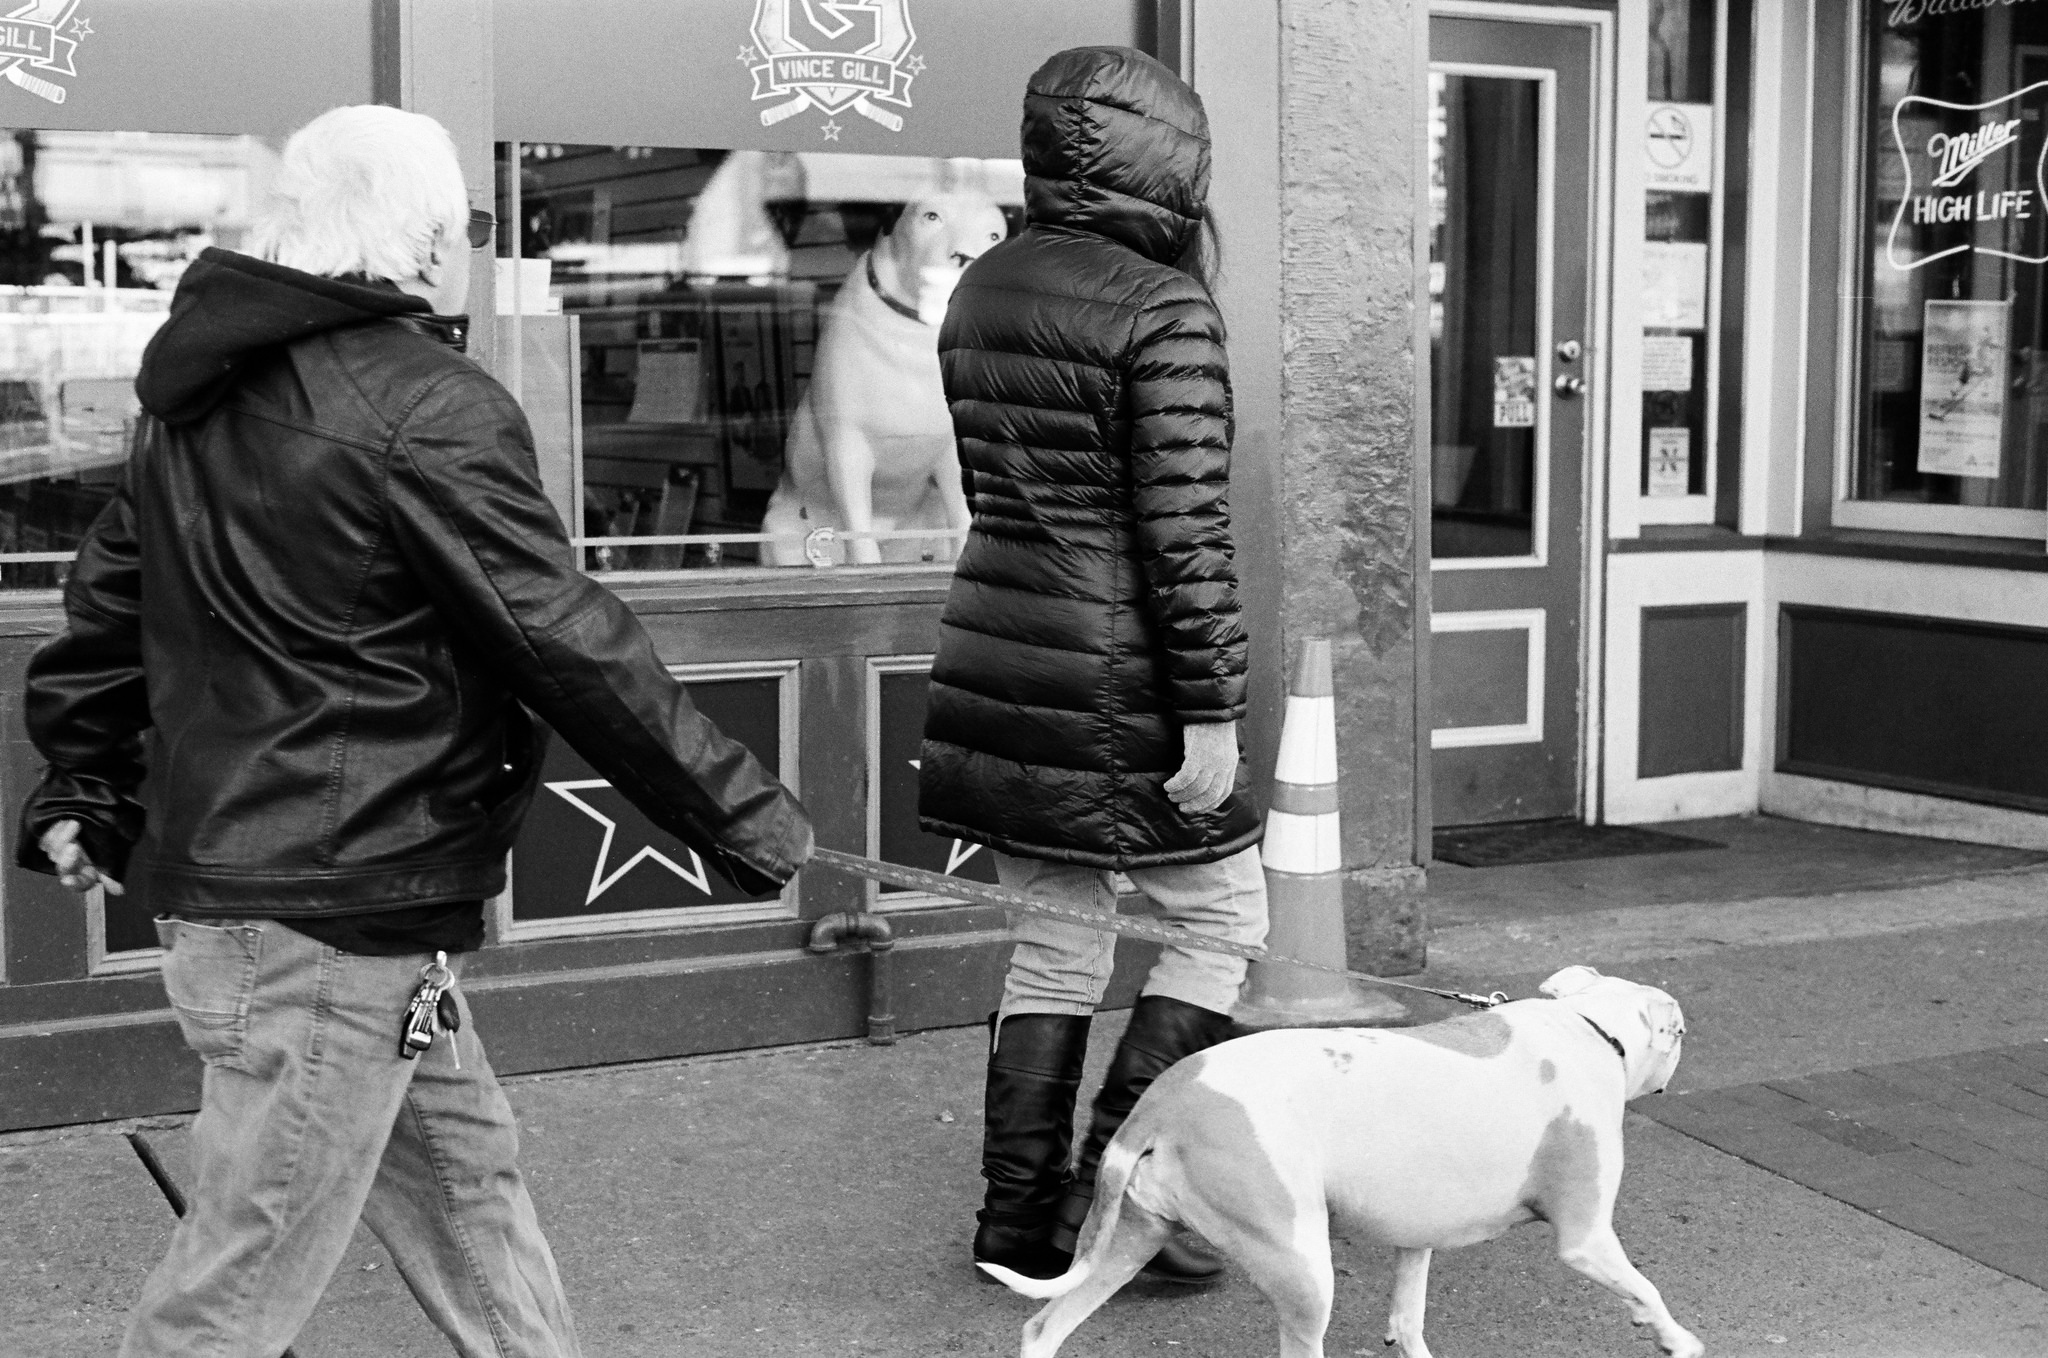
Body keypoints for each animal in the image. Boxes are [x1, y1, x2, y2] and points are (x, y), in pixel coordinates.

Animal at [761, 193, 1007, 565]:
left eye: (995, 236)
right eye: (930, 216)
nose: (967, 257)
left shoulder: (952, 456)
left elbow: (962, 516)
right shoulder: (848, 451)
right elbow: (861, 540)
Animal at [983, 966, 1703, 1358]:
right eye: (1679, 1034)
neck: (1590, 1027)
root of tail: (1163, 1102)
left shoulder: (1418, 1235)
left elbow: (1407, 1316)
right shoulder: (1587, 1239)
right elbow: (1648, 1288)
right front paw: (1673, 1337)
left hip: (1131, 1241)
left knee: (1045, 1327)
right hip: (1302, 1266)